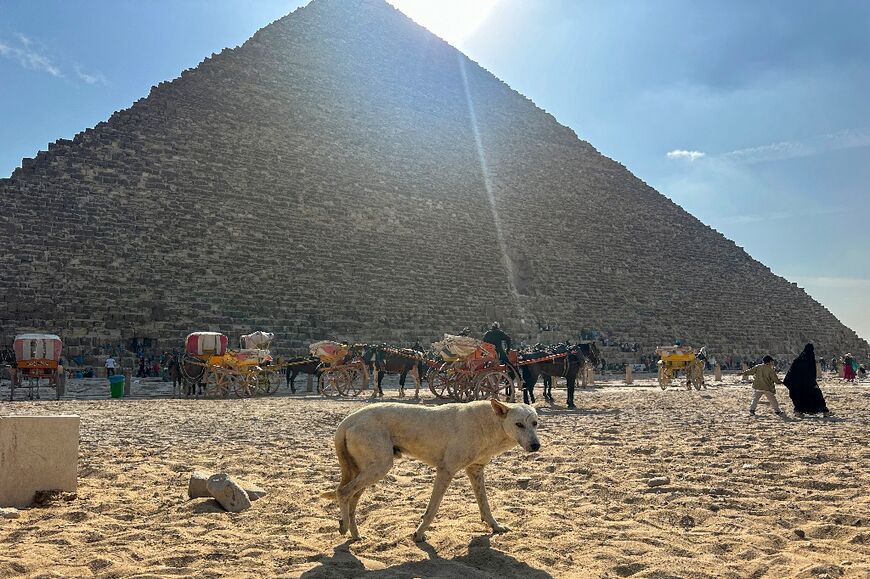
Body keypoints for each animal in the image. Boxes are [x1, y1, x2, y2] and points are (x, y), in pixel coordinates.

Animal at [322, 402, 540, 540]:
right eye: (518, 424)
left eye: (535, 423)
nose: (536, 446)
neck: (490, 422)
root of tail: (348, 420)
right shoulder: (446, 471)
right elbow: (432, 509)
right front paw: (418, 534)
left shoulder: (476, 471)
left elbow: (485, 506)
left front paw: (495, 527)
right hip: (379, 467)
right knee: (342, 492)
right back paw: (344, 527)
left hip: (367, 471)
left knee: (351, 499)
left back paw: (354, 534)